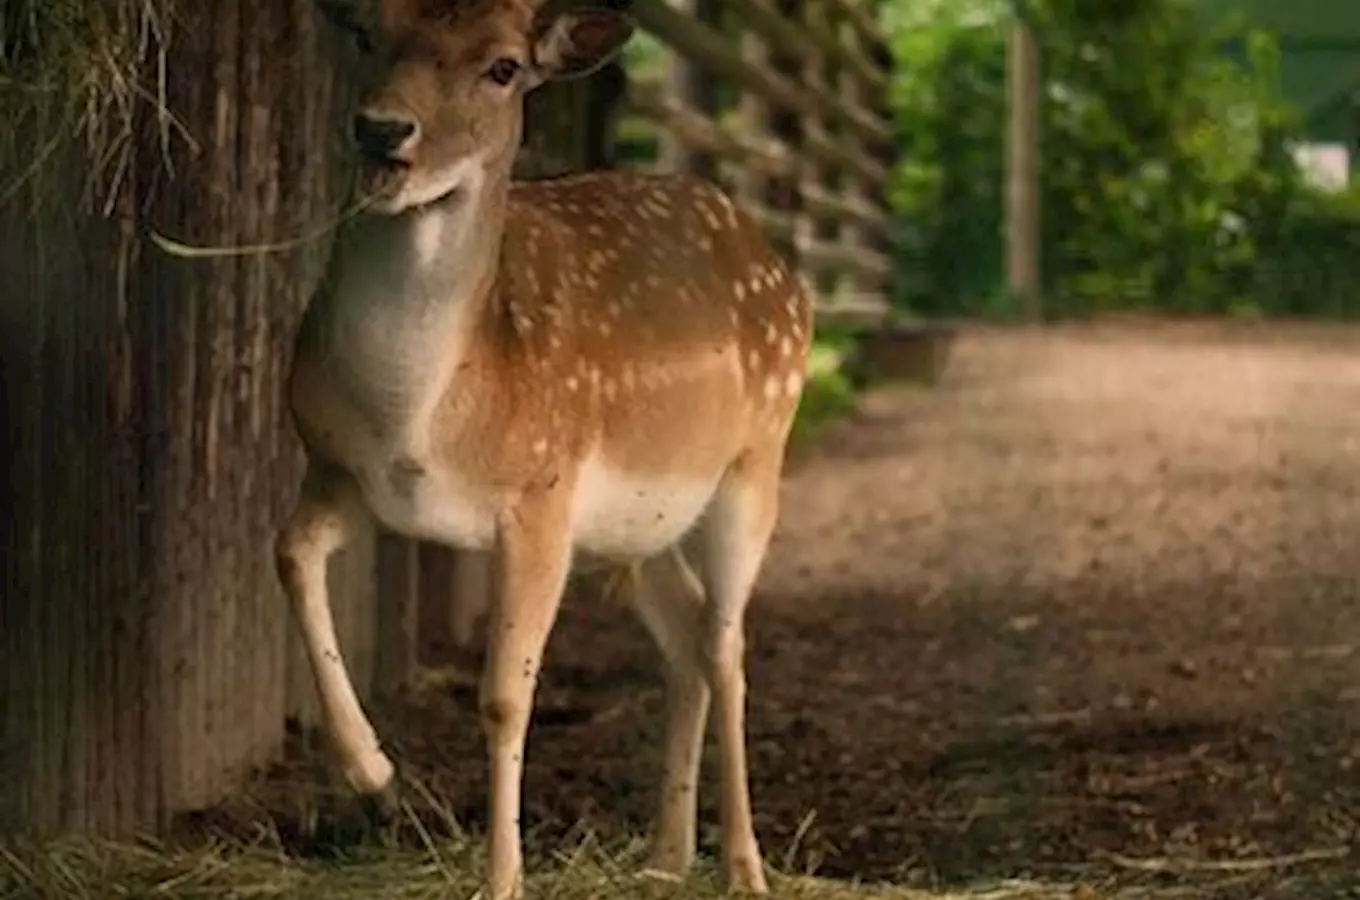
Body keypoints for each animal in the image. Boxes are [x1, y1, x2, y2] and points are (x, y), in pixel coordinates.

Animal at [272, 3, 810, 897]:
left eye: (504, 68)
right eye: (367, 32)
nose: (382, 130)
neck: (414, 419)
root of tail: (782, 267)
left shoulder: (540, 496)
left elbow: (502, 697)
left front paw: (501, 879)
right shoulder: (335, 469)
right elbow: (290, 555)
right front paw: (374, 775)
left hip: (755, 460)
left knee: (727, 643)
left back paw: (744, 866)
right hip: (637, 530)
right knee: (685, 639)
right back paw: (664, 858)